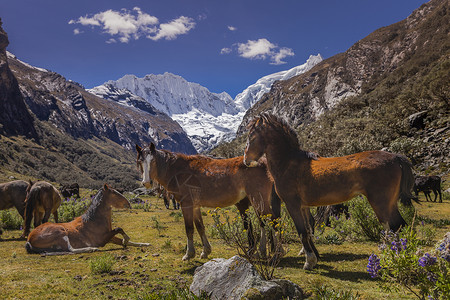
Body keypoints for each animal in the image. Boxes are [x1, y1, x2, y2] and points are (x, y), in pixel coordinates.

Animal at [135, 143, 282, 260]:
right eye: (140, 161)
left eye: (153, 161)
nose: (146, 182)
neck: (178, 171)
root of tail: (264, 163)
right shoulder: (195, 206)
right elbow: (200, 227)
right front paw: (205, 251)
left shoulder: (186, 204)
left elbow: (189, 228)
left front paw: (189, 254)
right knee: (264, 221)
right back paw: (262, 251)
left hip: (258, 199)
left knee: (271, 220)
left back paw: (278, 252)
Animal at [244, 112, 416, 270]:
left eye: (252, 136)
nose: (246, 159)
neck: (288, 163)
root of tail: (396, 157)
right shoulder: (303, 206)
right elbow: (308, 230)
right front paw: (313, 258)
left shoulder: (292, 205)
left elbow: (302, 232)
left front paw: (309, 262)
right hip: (390, 203)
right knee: (399, 225)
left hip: (380, 202)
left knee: (392, 227)